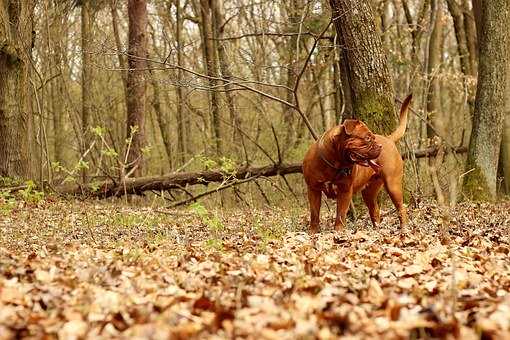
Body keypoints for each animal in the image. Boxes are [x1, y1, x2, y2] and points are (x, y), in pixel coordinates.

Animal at [304, 93, 412, 231]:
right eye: (367, 138)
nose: (379, 146)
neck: (334, 163)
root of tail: (389, 139)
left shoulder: (344, 191)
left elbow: (340, 214)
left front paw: (338, 231)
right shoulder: (313, 189)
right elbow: (314, 214)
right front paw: (313, 232)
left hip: (393, 185)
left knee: (401, 208)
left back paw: (404, 227)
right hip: (369, 192)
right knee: (375, 210)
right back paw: (376, 229)